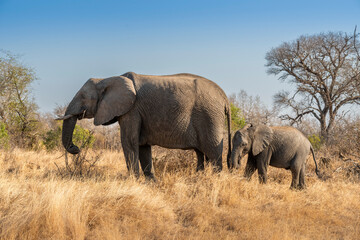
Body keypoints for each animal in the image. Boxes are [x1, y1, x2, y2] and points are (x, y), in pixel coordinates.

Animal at [56, 71, 231, 180]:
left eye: (83, 96)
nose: (76, 148)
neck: (107, 79)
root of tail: (225, 97)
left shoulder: (132, 109)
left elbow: (129, 142)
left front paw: (133, 181)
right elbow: (143, 147)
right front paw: (151, 183)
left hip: (210, 116)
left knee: (213, 153)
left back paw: (215, 180)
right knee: (202, 153)